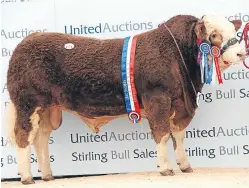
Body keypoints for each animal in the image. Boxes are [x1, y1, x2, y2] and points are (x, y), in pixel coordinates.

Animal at [4, 14, 246, 184]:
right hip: (27, 103)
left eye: (233, 31)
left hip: (46, 108)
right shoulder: (158, 99)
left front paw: (185, 166)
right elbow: (162, 134)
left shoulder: (179, 104)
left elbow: (178, 135)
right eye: (214, 35)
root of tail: (28, 39)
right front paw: (166, 169)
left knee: (41, 138)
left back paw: (47, 175)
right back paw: (27, 177)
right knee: (24, 136)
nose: (241, 53)